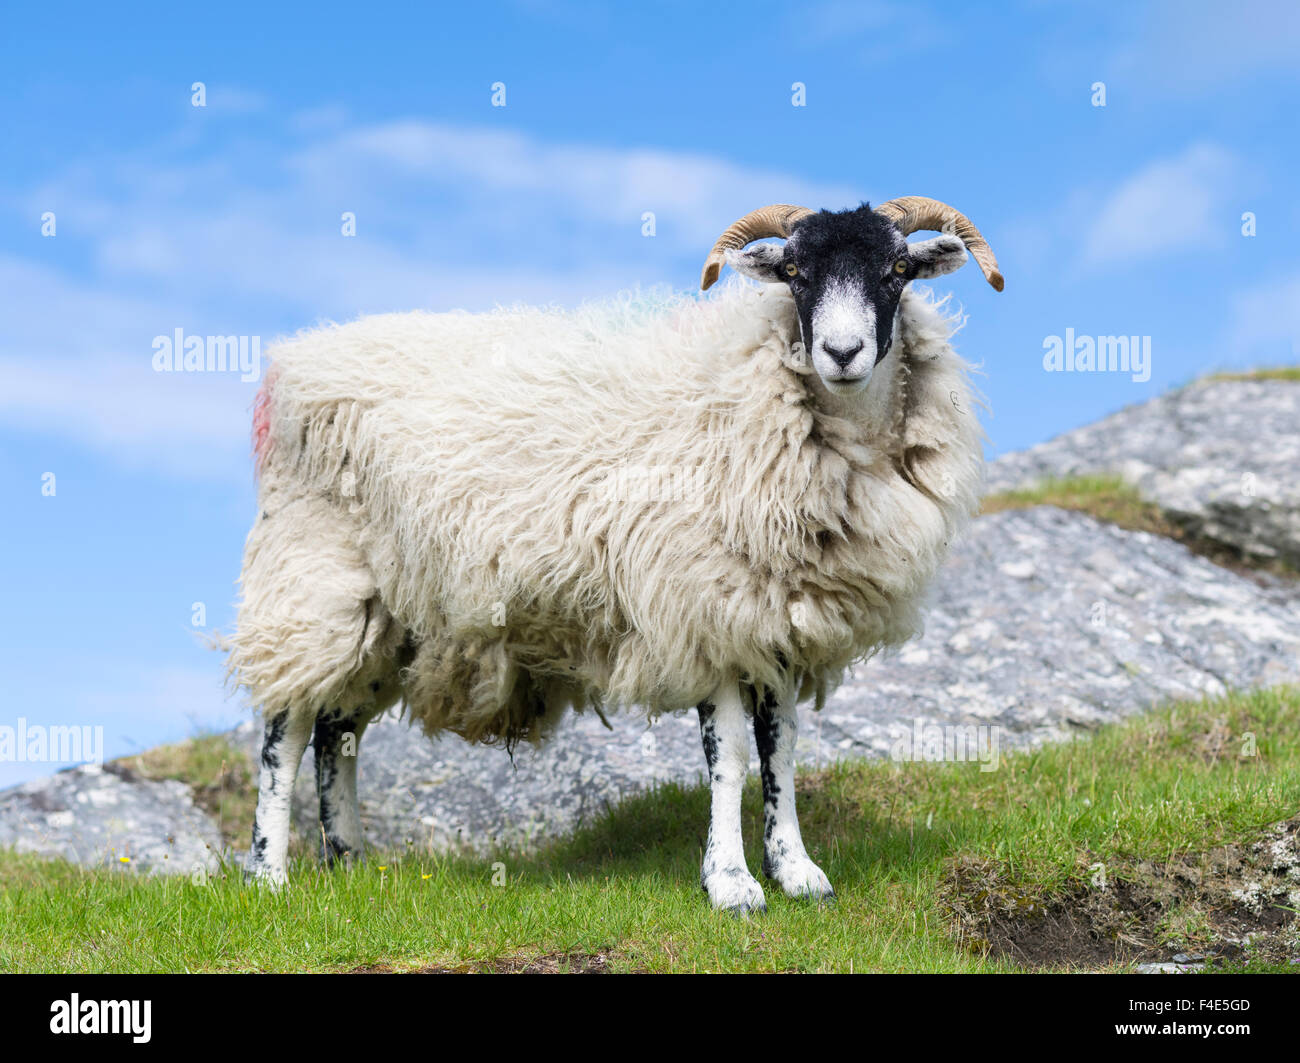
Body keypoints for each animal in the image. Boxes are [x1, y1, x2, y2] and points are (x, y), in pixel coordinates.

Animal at [231, 194, 1003, 909]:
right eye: (795, 272)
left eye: (896, 270)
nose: (841, 354)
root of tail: (294, 362)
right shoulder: (703, 607)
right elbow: (729, 758)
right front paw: (731, 883)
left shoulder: (775, 617)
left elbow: (780, 751)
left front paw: (796, 870)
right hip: (313, 577)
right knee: (285, 734)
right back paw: (269, 875)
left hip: (392, 613)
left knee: (337, 729)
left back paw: (350, 863)